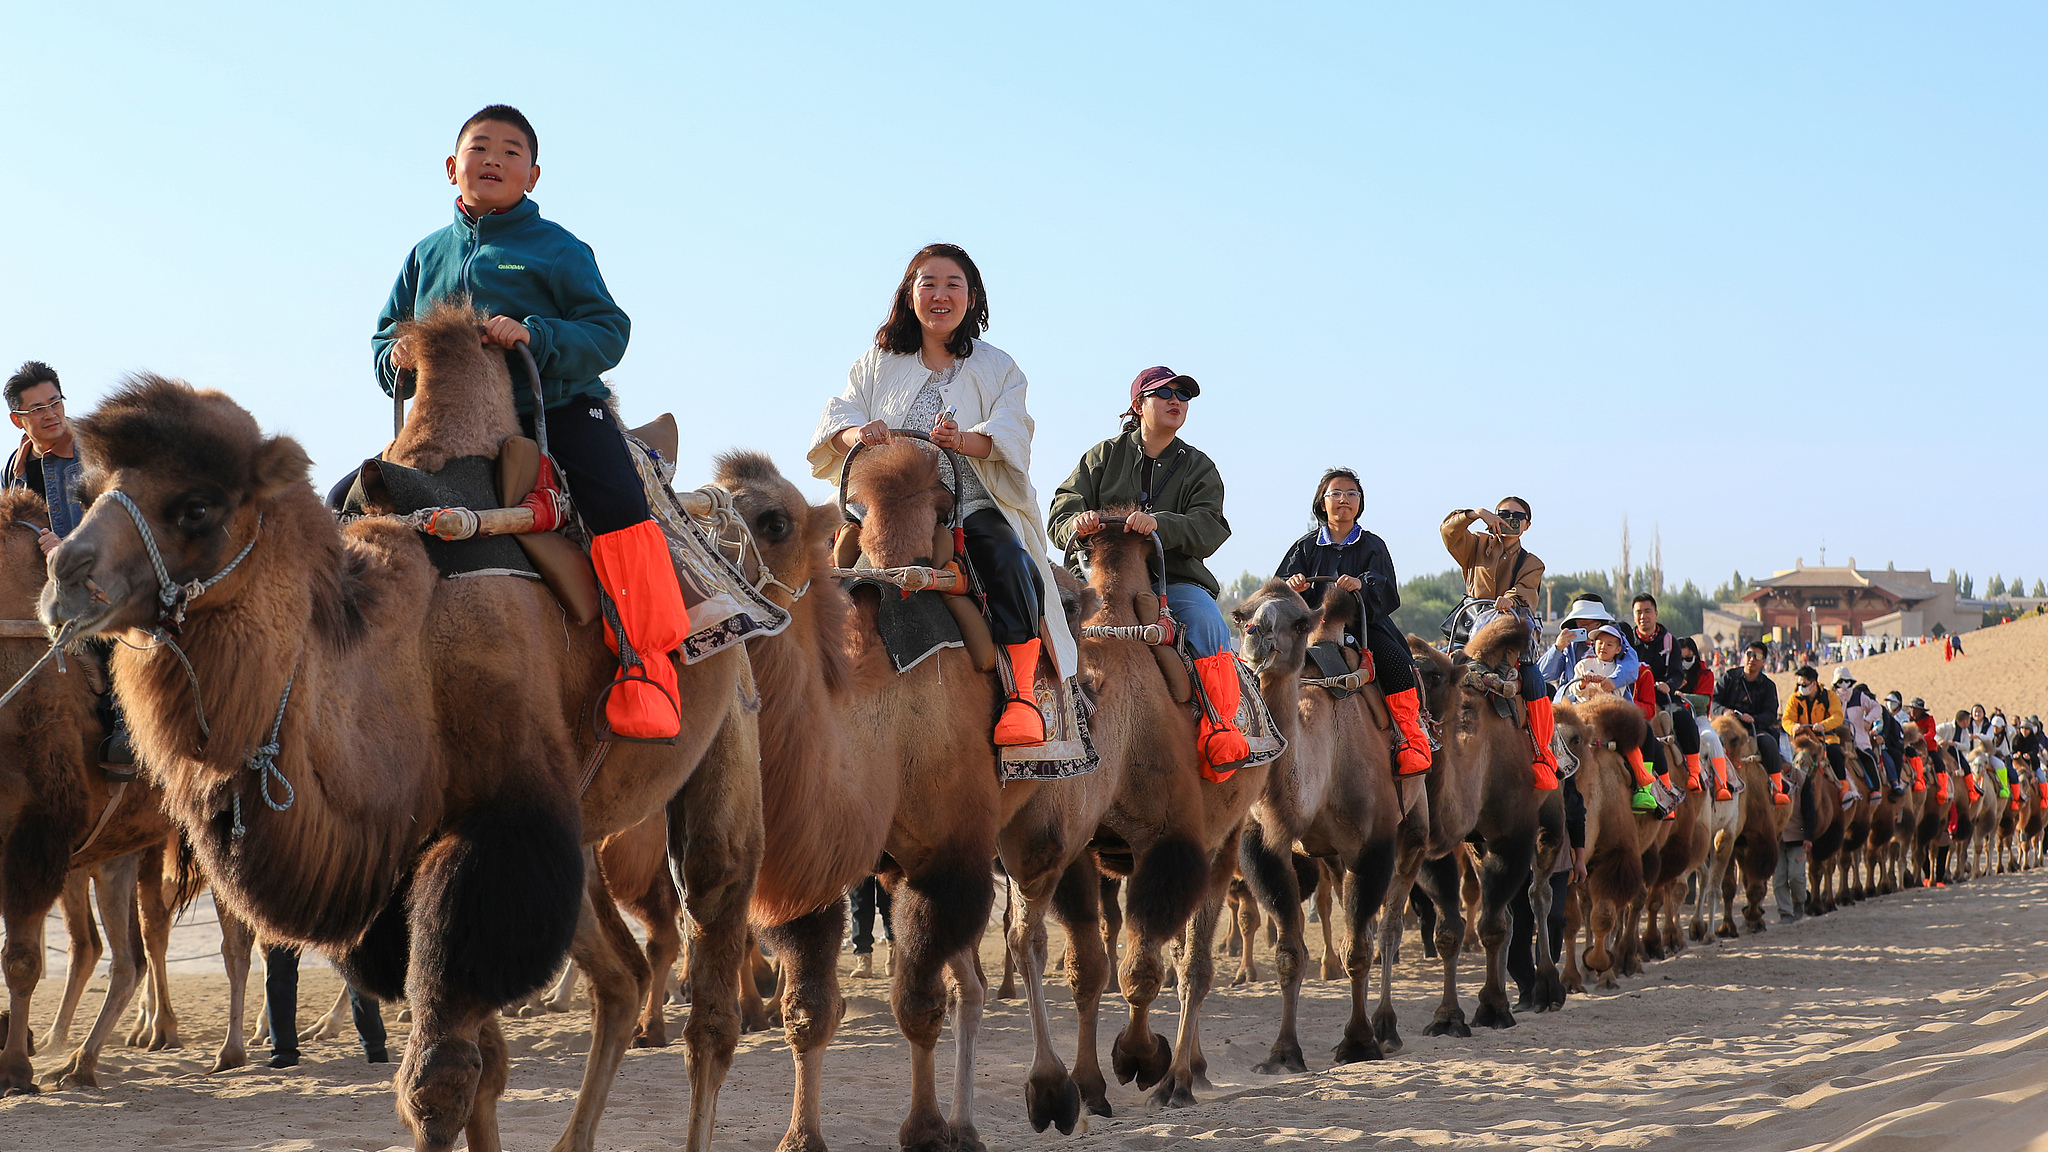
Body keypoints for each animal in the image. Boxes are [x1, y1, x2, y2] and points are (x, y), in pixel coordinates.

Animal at [37, 305, 761, 1152]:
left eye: (197, 505)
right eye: (90, 490)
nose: (66, 576)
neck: (405, 652)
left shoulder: (494, 833)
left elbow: (439, 1080)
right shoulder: (406, 860)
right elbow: (484, 1070)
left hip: (725, 732)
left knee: (711, 982)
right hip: (579, 831)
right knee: (620, 980)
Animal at [1232, 579, 1402, 1072]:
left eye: (1300, 622)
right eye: (1240, 614)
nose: (1255, 635)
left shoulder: (1373, 844)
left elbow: (1359, 948)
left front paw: (1359, 1043)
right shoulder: (1267, 849)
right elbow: (1290, 953)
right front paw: (1283, 1052)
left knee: (1390, 929)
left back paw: (1391, 1026)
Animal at [1374, 616, 1561, 1046]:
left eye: (1436, 675)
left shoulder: (1513, 836)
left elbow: (1490, 925)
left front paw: (1492, 1008)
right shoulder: (1437, 848)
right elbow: (1450, 931)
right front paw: (1448, 1017)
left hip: (1553, 815)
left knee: (1539, 893)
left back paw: (1548, 989)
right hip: (1476, 845)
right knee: (1509, 909)